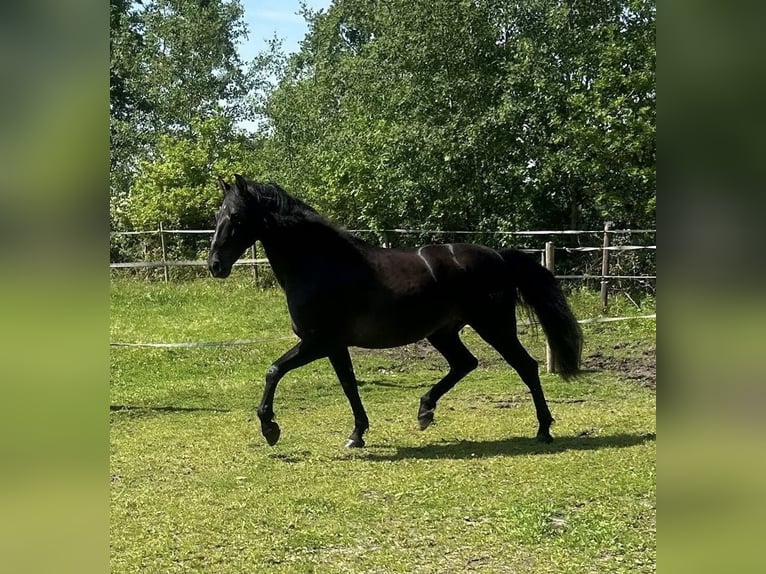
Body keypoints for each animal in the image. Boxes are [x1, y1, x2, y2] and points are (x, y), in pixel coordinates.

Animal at [208, 174, 583, 448]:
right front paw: (356, 435)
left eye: (236, 217)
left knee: (526, 366)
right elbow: (348, 385)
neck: (321, 264)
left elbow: (274, 371)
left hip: (494, 326)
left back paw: (544, 430)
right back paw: (425, 411)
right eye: (216, 216)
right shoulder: (334, 346)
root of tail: (500, 257)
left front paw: (270, 428)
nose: (215, 265)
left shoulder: (318, 342)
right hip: (443, 332)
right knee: (466, 364)